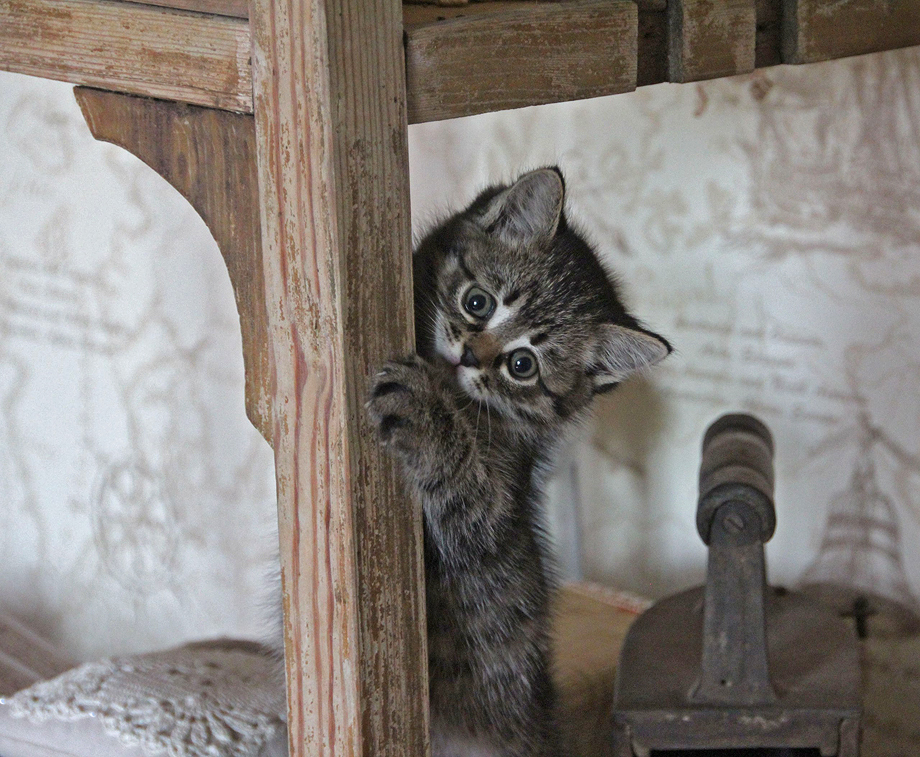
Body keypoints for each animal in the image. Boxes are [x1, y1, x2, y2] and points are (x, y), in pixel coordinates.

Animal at [364, 167, 668, 756]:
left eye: (522, 365)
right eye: (478, 303)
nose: (468, 357)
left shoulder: (488, 521)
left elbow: (464, 496)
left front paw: (425, 414)